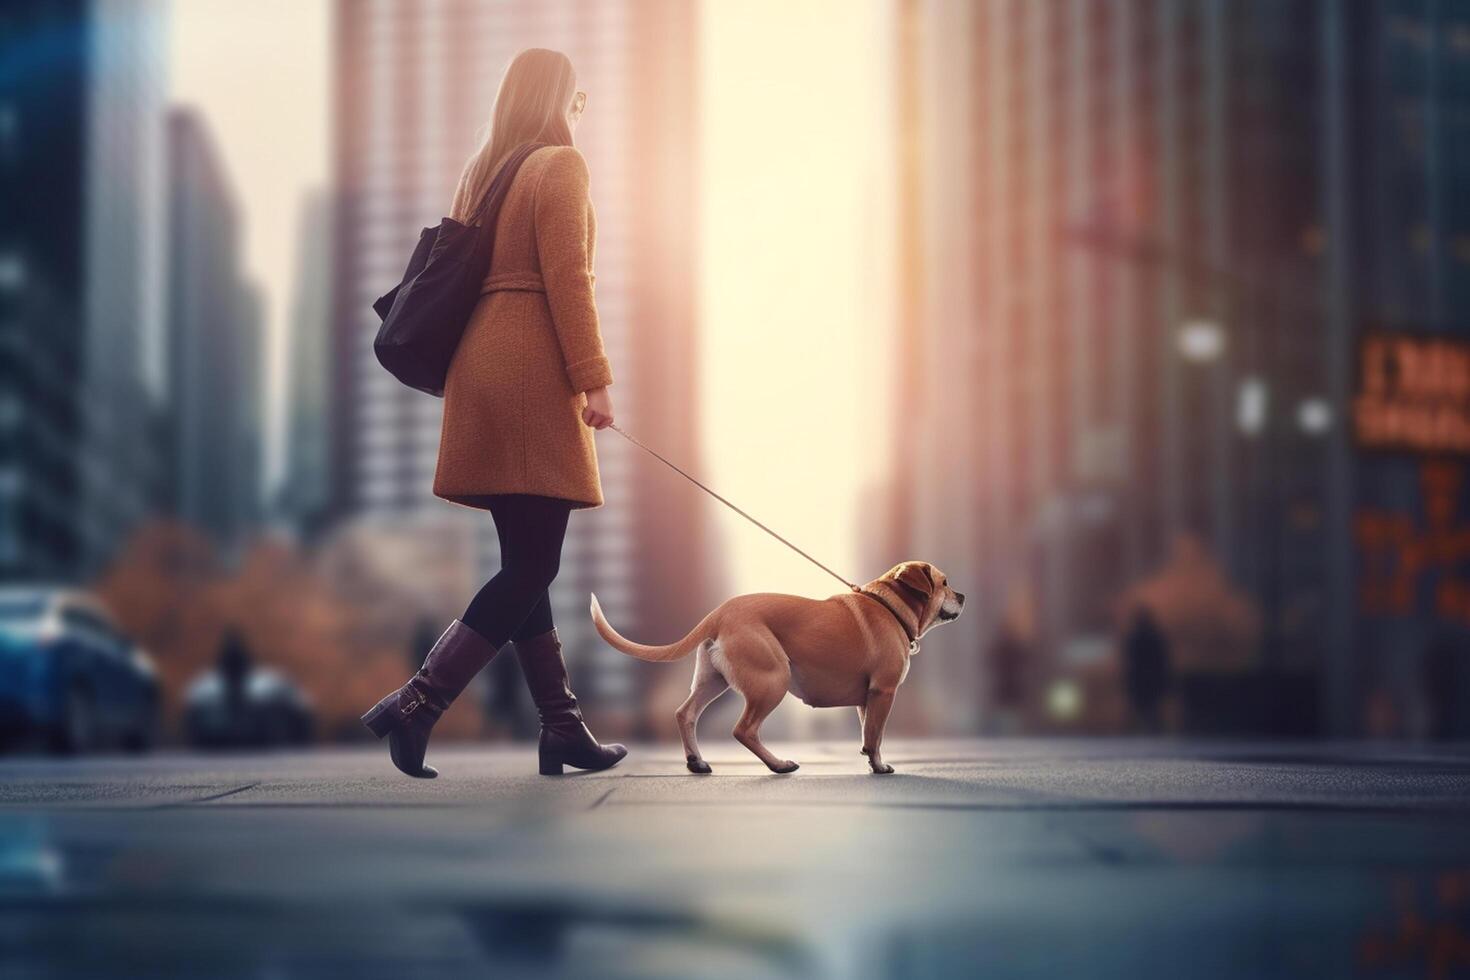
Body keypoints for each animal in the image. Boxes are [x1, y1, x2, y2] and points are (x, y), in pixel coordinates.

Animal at [585, 564, 964, 775]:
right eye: (944, 582)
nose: (962, 595)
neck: (889, 605)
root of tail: (720, 613)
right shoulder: (884, 692)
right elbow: (877, 735)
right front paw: (880, 767)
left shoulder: (866, 699)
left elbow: (867, 734)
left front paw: (871, 761)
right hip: (772, 680)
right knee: (744, 729)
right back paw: (778, 764)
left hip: (715, 682)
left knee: (685, 713)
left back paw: (697, 761)